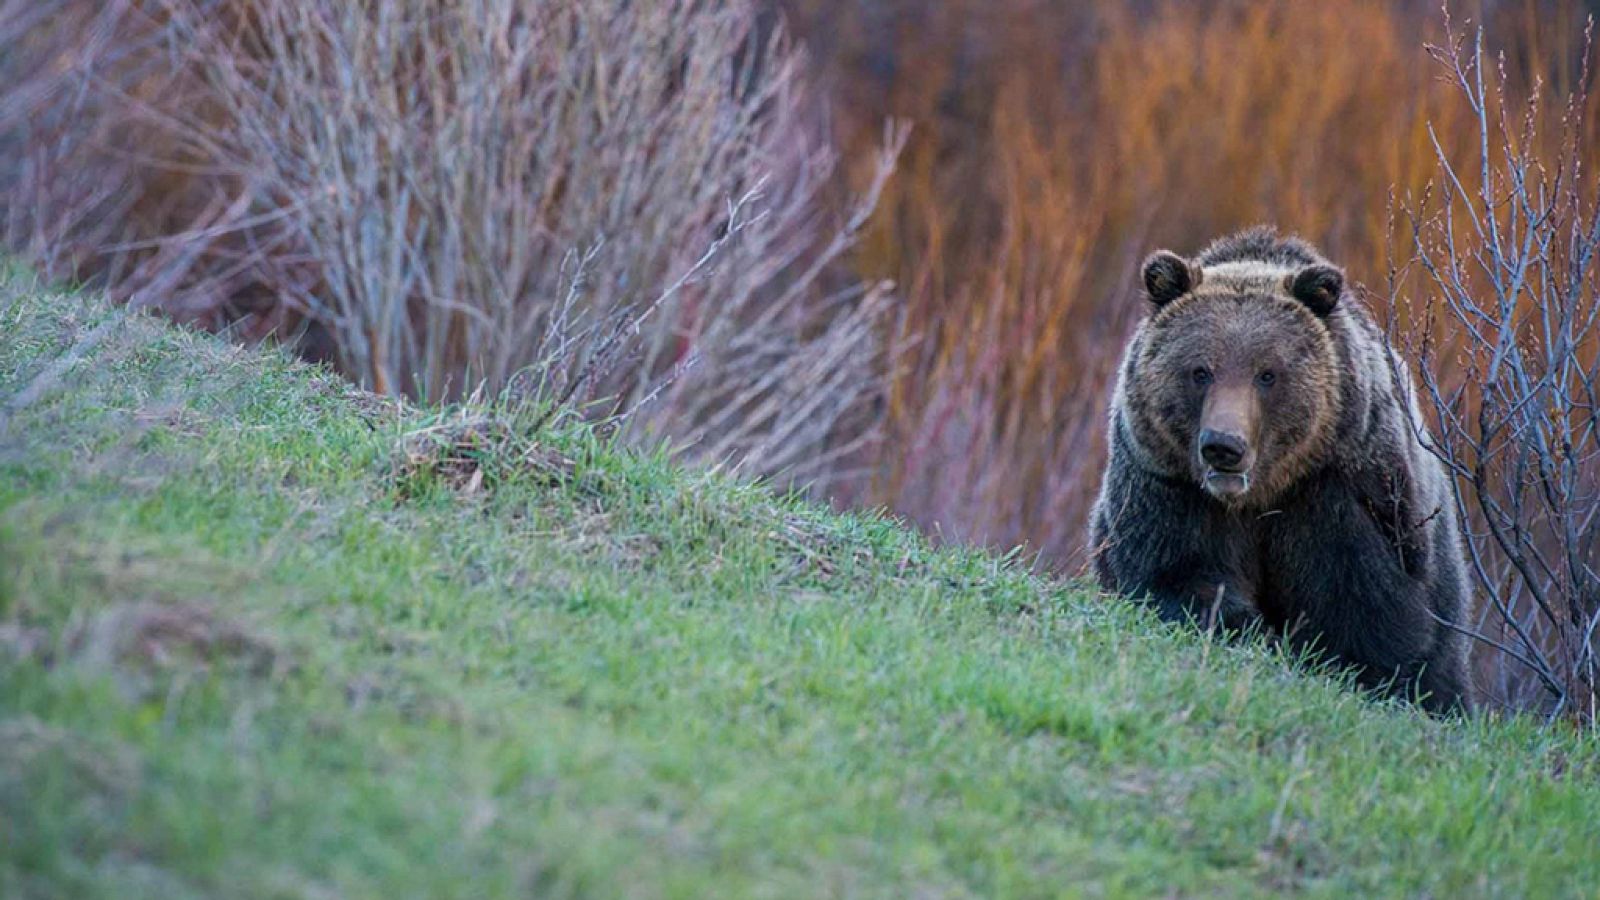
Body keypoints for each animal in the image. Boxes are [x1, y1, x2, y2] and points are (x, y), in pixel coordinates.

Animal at [1087, 226, 1472, 714]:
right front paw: (1250, 629)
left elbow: (1366, 608)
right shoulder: (1167, 483)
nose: (1223, 446)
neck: (1259, 494)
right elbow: (1178, 575)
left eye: (1267, 374)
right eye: (1200, 371)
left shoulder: (1338, 491)